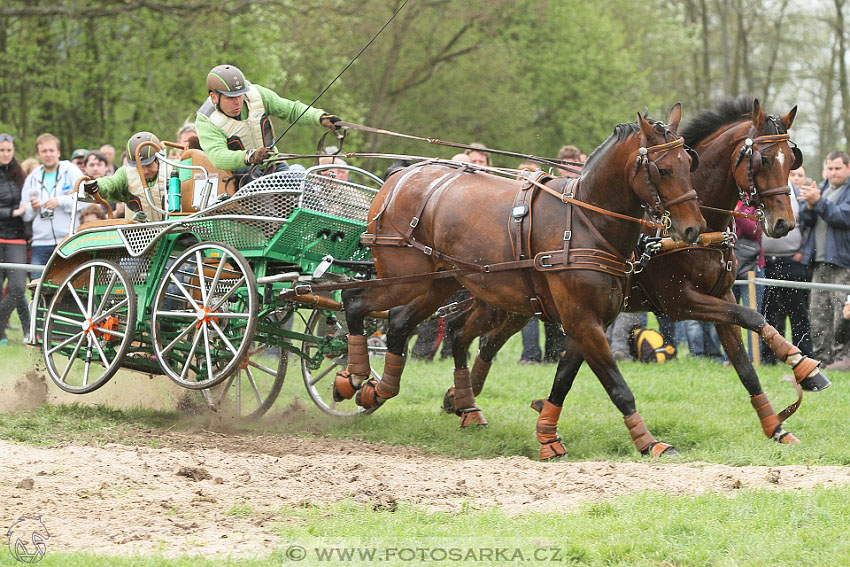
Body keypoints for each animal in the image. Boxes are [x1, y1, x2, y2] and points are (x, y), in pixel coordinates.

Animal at [334, 106, 704, 460]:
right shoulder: (583, 321)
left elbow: (562, 381)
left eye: (689, 162)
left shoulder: (586, 323)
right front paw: (649, 442)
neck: (587, 221)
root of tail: (400, 176)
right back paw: (353, 376)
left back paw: (394, 393)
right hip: (402, 279)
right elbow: (618, 387)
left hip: (439, 284)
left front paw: (548, 436)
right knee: (354, 301)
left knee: (405, 325)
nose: (694, 228)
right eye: (663, 169)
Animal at [440, 95, 824, 454]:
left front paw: (776, 424)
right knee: (465, 333)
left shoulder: (721, 295)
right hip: (503, 301)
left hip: (521, 306)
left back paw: (460, 397)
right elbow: (751, 317)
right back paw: (464, 399)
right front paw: (803, 366)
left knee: (477, 339)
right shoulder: (680, 302)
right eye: (762, 160)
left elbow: (745, 363)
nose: (784, 223)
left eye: (791, 159)